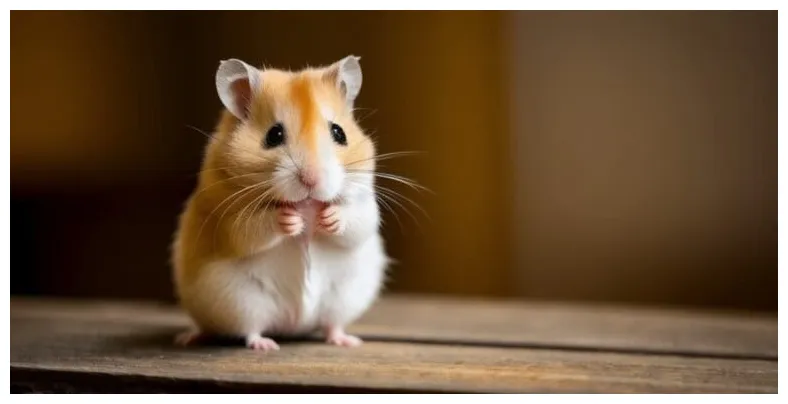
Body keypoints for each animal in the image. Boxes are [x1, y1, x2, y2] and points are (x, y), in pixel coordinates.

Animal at [171, 55, 388, 350]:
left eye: (339, 133)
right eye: (273, 135)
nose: (312, 180)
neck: (307, 204)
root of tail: (294, 324)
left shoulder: (365, 200)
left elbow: (358, 222)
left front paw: (328, 218)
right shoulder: (228, 218)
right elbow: (250, 230)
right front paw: (289, 220)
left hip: (343, 299)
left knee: (332, 324)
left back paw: (347, 341)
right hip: (242, 301)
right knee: (248, 330)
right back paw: (247, 344)